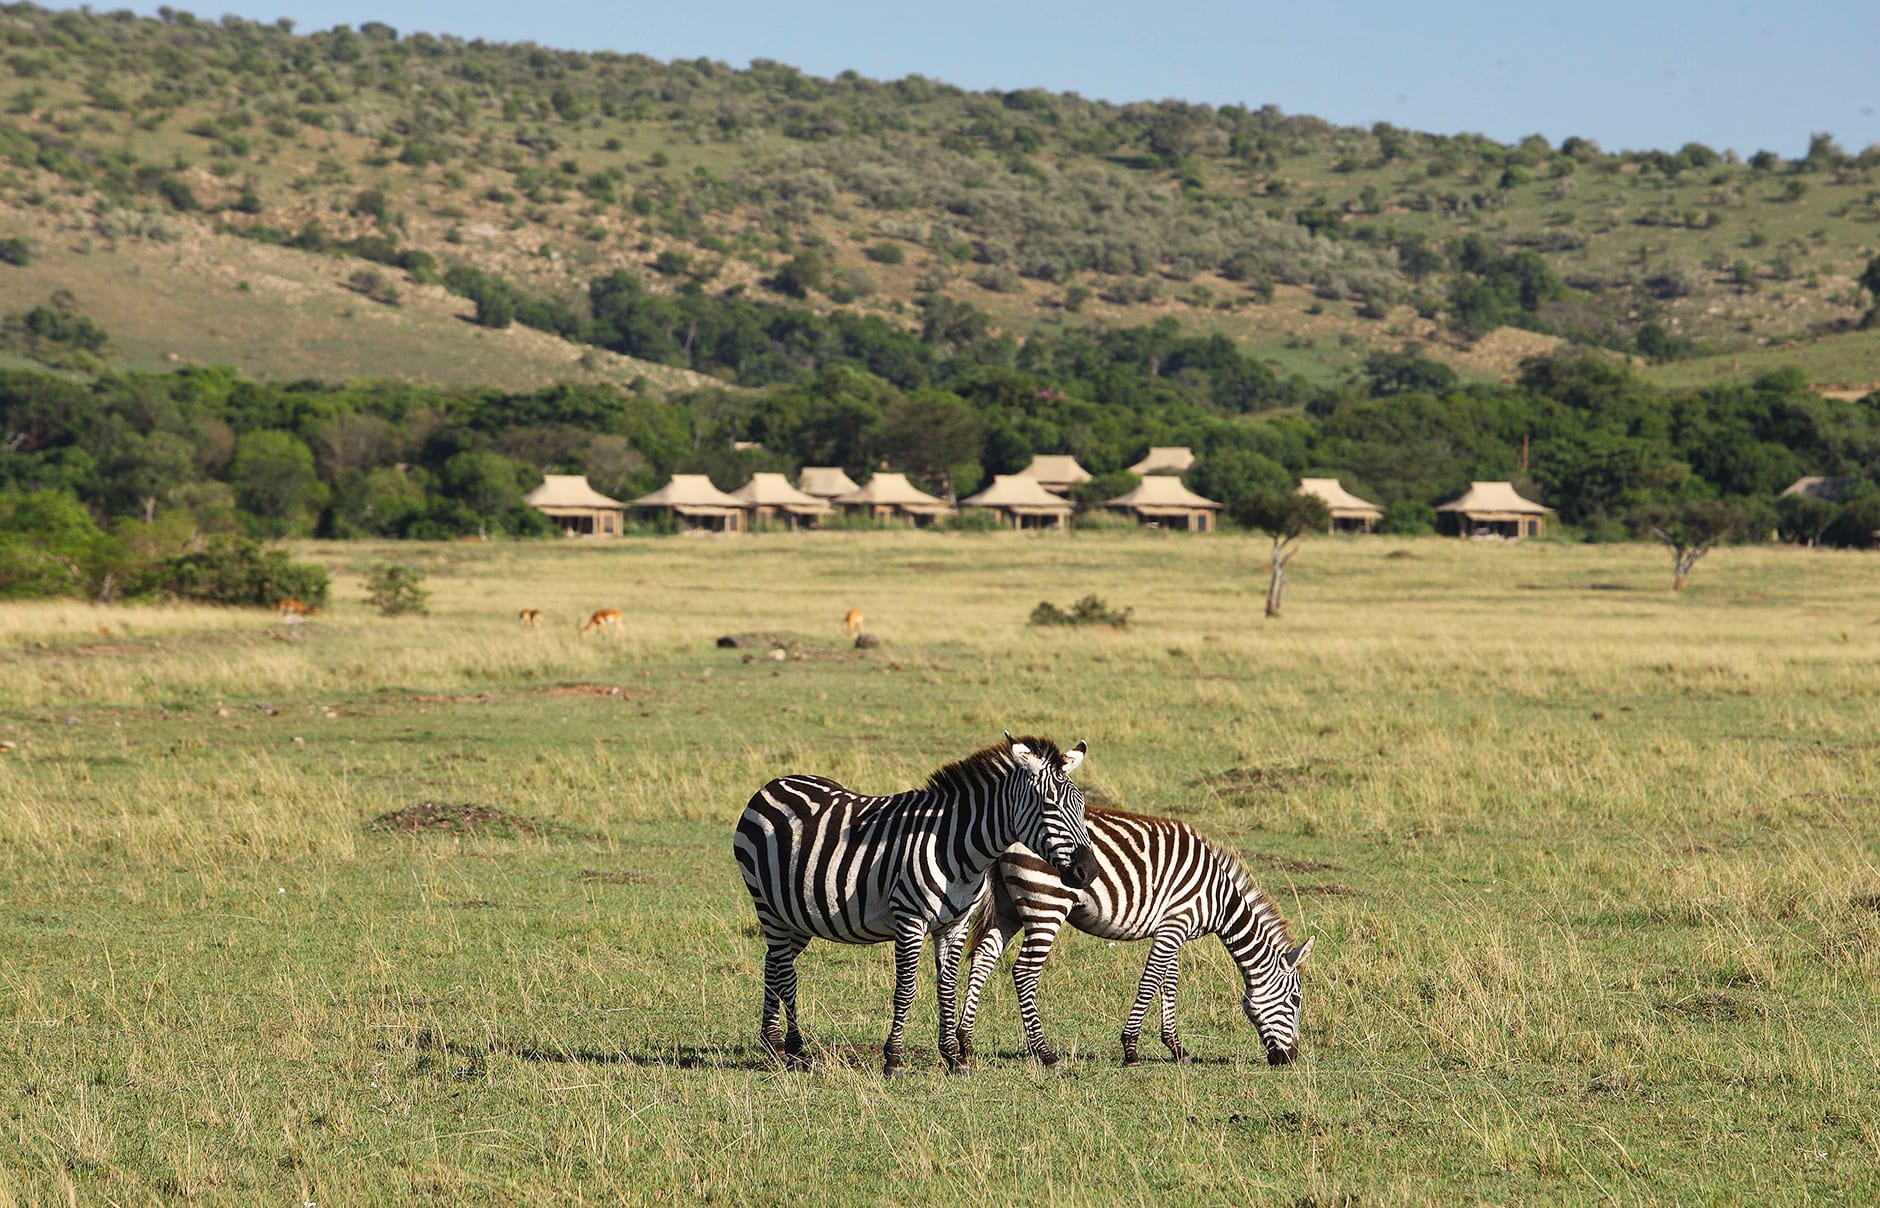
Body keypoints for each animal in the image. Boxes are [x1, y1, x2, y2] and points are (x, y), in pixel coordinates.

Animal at [725, 732, 1097, 1082]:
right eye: (1049, 806)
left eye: (1081, 807)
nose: (1089, 870)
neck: (958, 850)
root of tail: (773, 784)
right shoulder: (910, 920)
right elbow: (905, 990)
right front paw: (893, 1060)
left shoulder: (955, 924)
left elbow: (947, 988)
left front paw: (954, 1058)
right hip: (768, 907)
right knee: (786, 973)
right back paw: (795, 1050)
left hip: (799, 914)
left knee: (773, 963)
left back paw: (773, 1044)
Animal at [962, 807, 1316, 1074]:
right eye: (1296, 1000)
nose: (1290, 1059)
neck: (1218, 899)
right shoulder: (1175, 923)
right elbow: (1150, 980)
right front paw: (1130, 1049)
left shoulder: (1171, 926)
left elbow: (1169, 981)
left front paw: (1176, 1048)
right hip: (1046, 902)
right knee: (1024, 972)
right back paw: (1044, 1053)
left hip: (1008, 907)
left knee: (982, 958)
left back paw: (965, 1043)